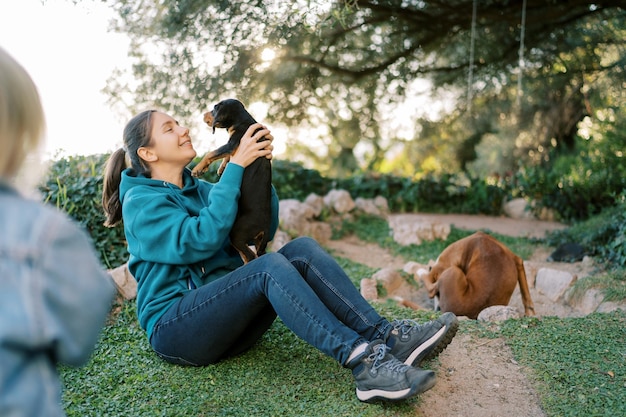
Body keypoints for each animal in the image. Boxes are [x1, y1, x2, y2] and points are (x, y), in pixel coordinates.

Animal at [191, 98, 272, 262]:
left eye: (215, 108)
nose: (203, 115)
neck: (242, 120)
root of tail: (265, 227)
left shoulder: (232, 143)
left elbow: (212, 153)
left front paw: (198, 169)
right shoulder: (232, 147)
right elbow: (226, 156)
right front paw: (222, 167)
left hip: (237, 234)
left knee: (249, 255)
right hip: (258, 241)